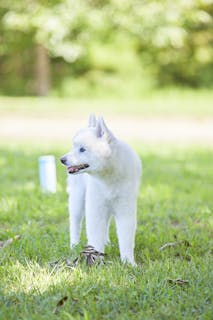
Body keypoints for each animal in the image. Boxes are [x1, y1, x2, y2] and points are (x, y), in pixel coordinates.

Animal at [60, 115, 142, 264]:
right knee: (75, 223)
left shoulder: (125, 209)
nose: (62, 159)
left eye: (82, 149)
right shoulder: (95, 208)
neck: (108, 176)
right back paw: (73, 245)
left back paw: (107, 241)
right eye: (74, 147)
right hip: (77, 200)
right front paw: (95, 259)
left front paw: (128, 262)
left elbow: (126, 238)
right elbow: (95, 235)